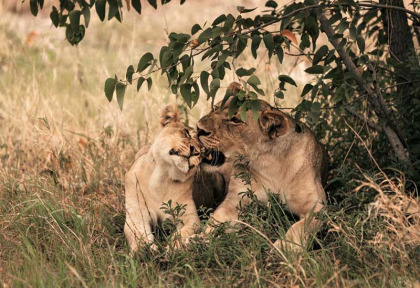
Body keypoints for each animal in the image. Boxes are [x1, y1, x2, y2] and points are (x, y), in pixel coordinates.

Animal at [124, 104, 203, 252]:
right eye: (187, 133)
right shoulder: (136, 213)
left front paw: (175, 246)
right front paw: (144, 249)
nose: (195, 151)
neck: (162, 177)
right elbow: (137, 233)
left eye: (203, 152)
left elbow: (184, 231)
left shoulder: (190, 217)